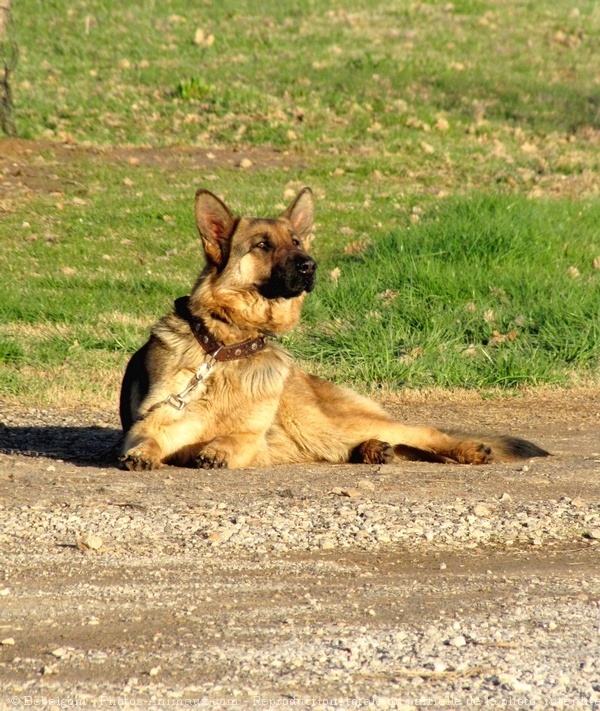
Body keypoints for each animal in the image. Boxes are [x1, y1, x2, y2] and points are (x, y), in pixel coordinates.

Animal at [117, 186, 548, 470]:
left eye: (295, 241)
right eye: (262, 245)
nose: (310, 264)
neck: (226, 346)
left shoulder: (248, 435)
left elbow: (232, 437)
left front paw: (218, 448)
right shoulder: (156, 420)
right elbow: (151, 436)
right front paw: (143, 453)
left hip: (332, 421)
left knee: (426, 433)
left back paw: (467, 449)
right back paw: (373, 450)